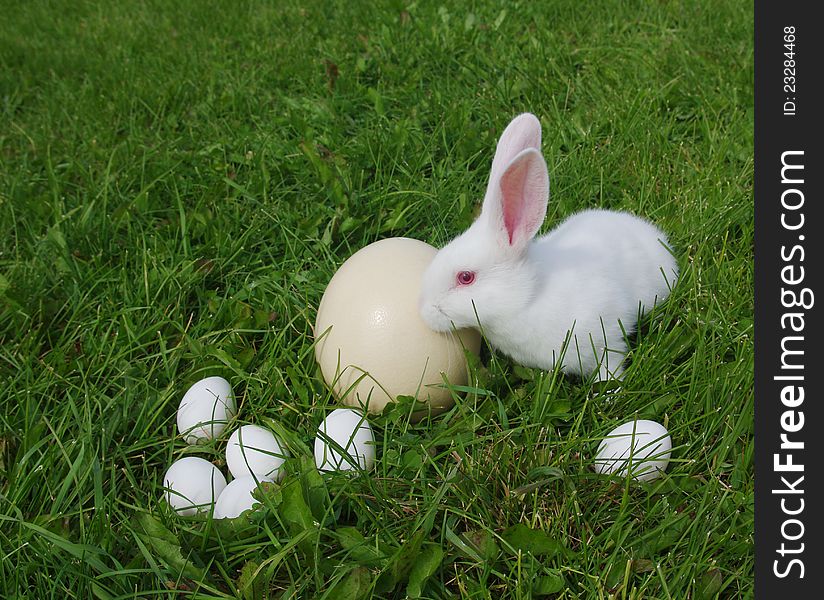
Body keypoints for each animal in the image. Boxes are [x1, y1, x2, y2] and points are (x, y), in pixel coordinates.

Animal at [418, 112, 676, 380]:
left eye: (466, 277)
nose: (424, 314)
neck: (529, 298)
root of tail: (653, 233)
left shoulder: (607, 340)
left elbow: (611, 365)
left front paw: (610, 389)